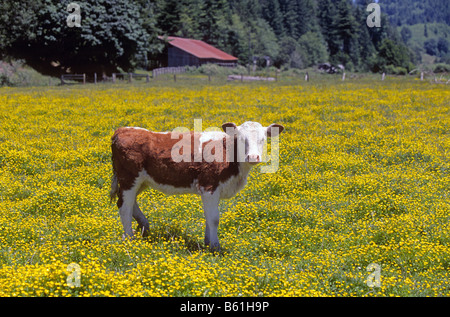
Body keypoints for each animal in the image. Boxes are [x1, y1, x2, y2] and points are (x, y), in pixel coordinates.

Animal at [110, 121, 284, 249]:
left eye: (263, 139)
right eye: (241, 139)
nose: (253, 157)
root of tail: (122, 130)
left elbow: (208, 216)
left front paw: (207, 242)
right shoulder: (209, 186)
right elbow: (214, 218)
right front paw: (215, 246)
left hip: (141, 182)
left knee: (131, 202)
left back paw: (143, 226)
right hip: (129, 178)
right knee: (124, 206)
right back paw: (130, 237)